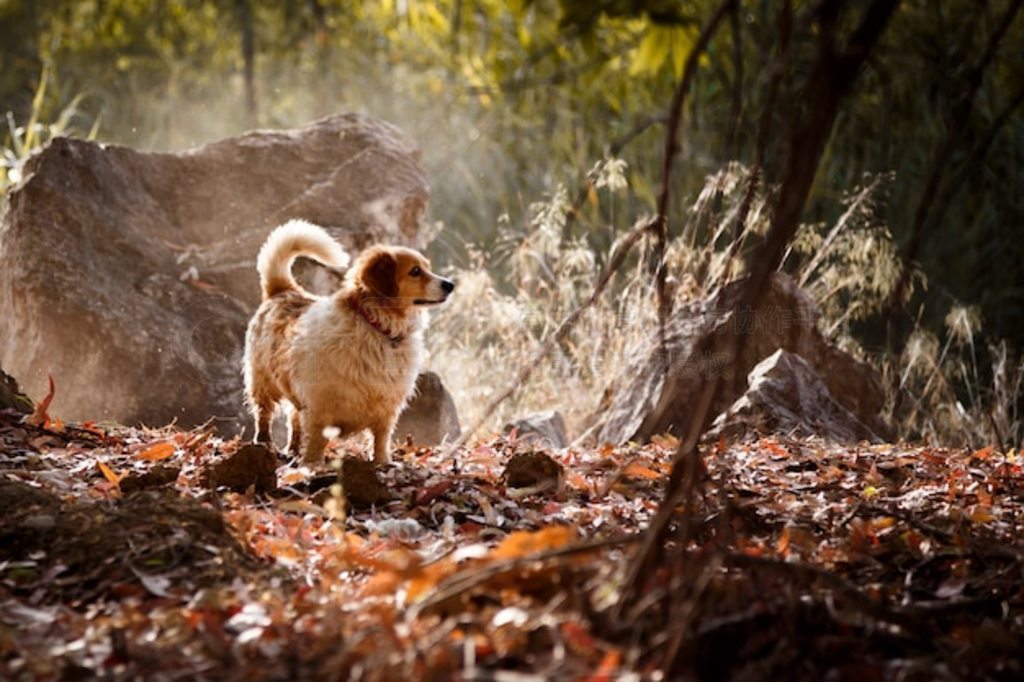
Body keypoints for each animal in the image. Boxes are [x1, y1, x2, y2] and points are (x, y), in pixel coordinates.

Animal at [241, 220, 454, 464]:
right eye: (415, 271)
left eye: (427, 267)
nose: (450, 285)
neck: (378, 328)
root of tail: (283, 290)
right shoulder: (319, 408)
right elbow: (315, 440)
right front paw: (311, 464)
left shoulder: (386, 409)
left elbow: (381, 439)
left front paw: (382, 462)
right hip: (262, 383)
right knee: (264, 414)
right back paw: (263, 442)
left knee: (294, 419)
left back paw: (293, 449)